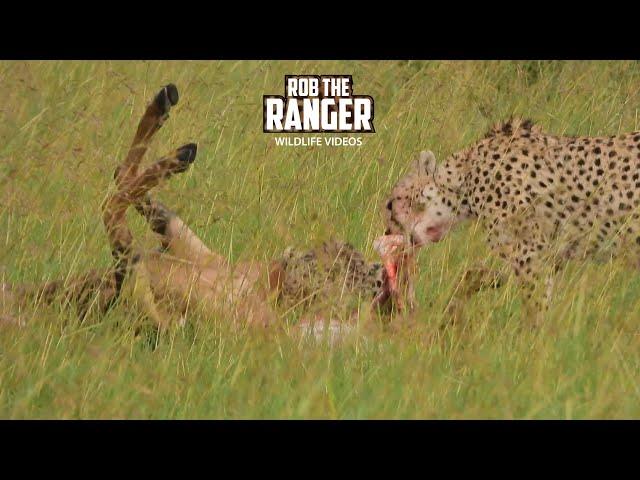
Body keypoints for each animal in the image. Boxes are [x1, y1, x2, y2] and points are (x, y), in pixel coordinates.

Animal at [1, 84, 410, 332]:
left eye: (351, 265)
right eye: (348, 254)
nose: (326, 246)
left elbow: (117, 202)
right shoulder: (189, 248)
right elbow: (137, 196)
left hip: (134, 288)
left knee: (115, 218)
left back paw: (175, 149)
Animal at [382, 118, 640, 324]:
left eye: (390, 204)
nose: (387, 233)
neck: (466, 177)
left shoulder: (529, 254)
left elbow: (535, 310)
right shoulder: (549, 256)